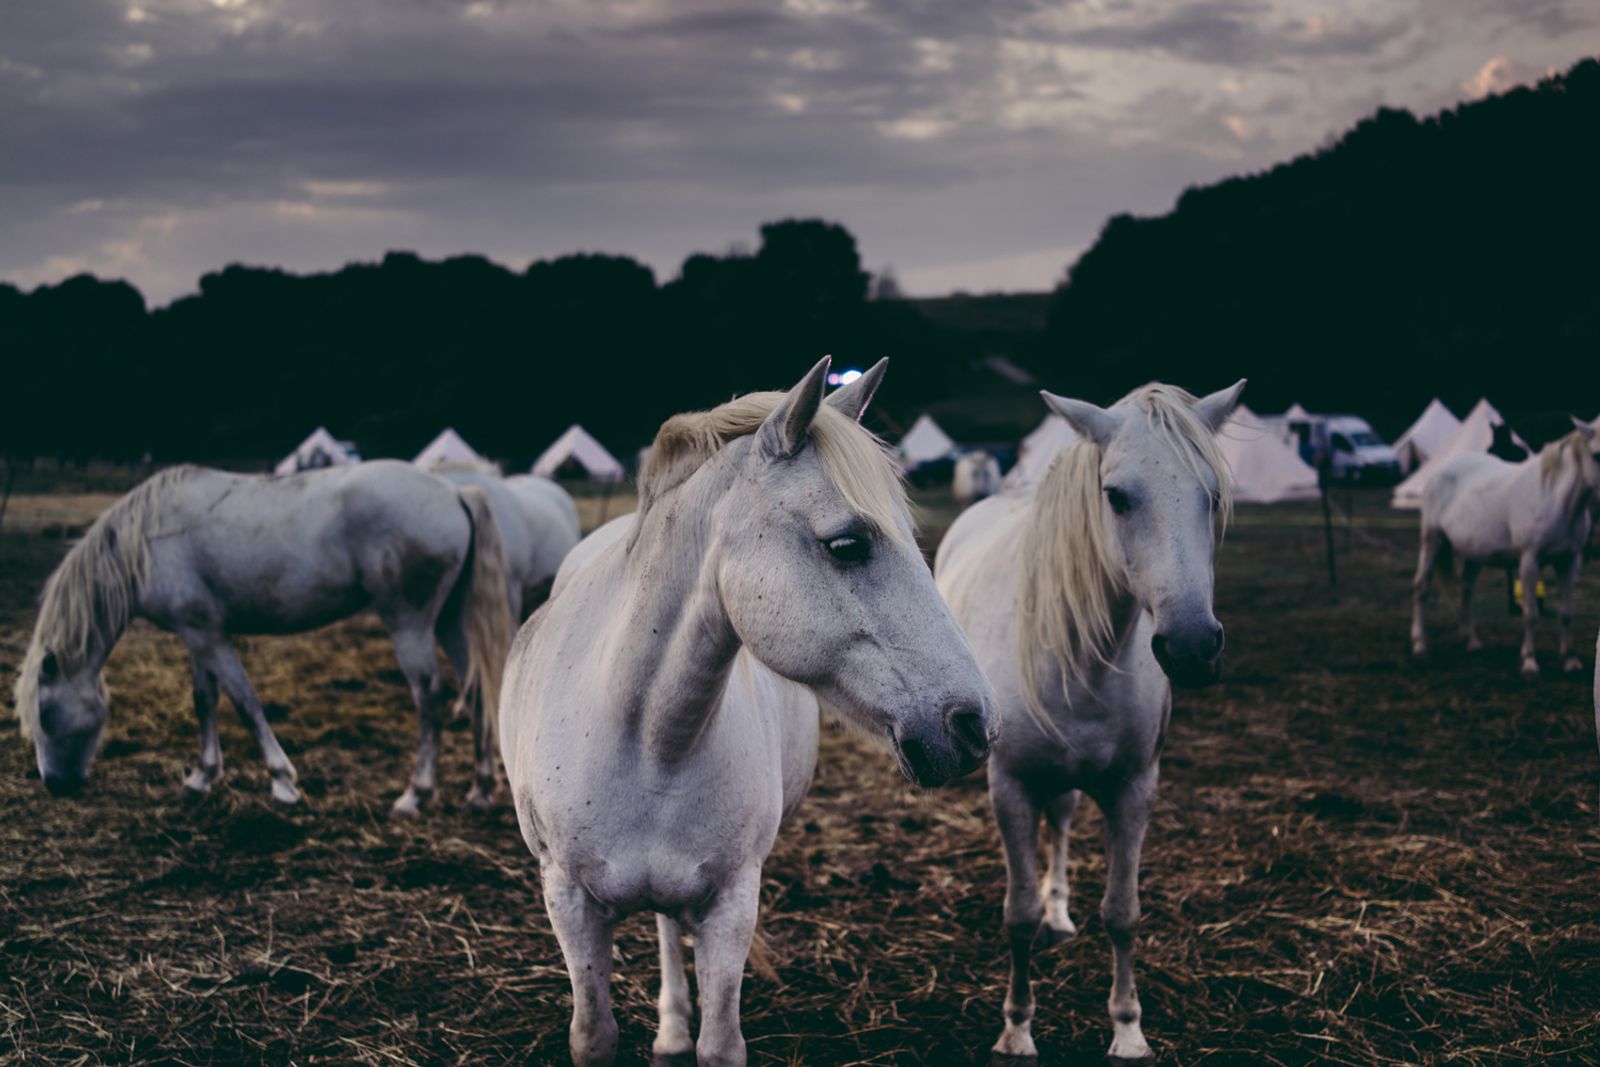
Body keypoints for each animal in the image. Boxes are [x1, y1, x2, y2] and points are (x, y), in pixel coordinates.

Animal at [10, 460, 512, 819]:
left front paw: (282, 782)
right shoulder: (196, 635)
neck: (148, 541)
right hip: (448, 620)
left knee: (430, 696)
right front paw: (201, 779)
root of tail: (455, 493)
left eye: (46, 714)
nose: (54, 783)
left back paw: (415, 795)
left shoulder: (208, 635)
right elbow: (205, 700)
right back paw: (480, 791)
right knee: (476, 691)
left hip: (408, 621)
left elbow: (244, 700)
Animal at [502, 361, 998, 1067]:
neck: (645, 741)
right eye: (847, 545)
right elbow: (593, 1034)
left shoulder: (733, 902)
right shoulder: (566, 897)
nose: (974, 726)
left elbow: (720, 1043)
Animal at [934, 379, 1248, 1062]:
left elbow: (1122, 912)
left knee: (1063, 825)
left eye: (1212, 495)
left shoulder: (1134, 789)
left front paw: (1128, 1031)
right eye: (1117, 496)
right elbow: (1018, 914)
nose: (1191, 646)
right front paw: (1017, 1029)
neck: (1083, 659)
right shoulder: (1011, 788)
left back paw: (1061, 915)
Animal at [1414, 415, 1600, 675]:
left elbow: (1566, 613)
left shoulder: (1569, 561)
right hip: (1433, 540)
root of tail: (1441, 468)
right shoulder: (1530, 560)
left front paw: (1570, 660)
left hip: (1474, 553)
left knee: (1466, 589)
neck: (1555, 499)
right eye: (1597, 455)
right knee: (1422, 587)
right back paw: (1420, 647)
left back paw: (1472, 641)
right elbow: (1531, 614)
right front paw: (1530, 662)